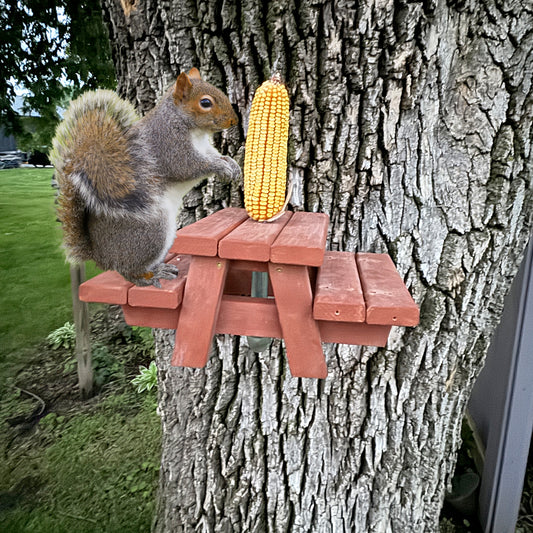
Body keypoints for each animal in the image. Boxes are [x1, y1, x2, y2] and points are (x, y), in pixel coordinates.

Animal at [51, 70, 240, 288]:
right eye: (205, 102)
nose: (233, 121)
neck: (194, 130)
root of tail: (99, 256)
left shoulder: (206, 149)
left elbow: (217, 156)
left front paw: (231, 164)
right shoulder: (169, 145)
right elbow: (188, 166)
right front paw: (220, 167)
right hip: (151, 232)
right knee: (129, 271)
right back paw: (152, 275)